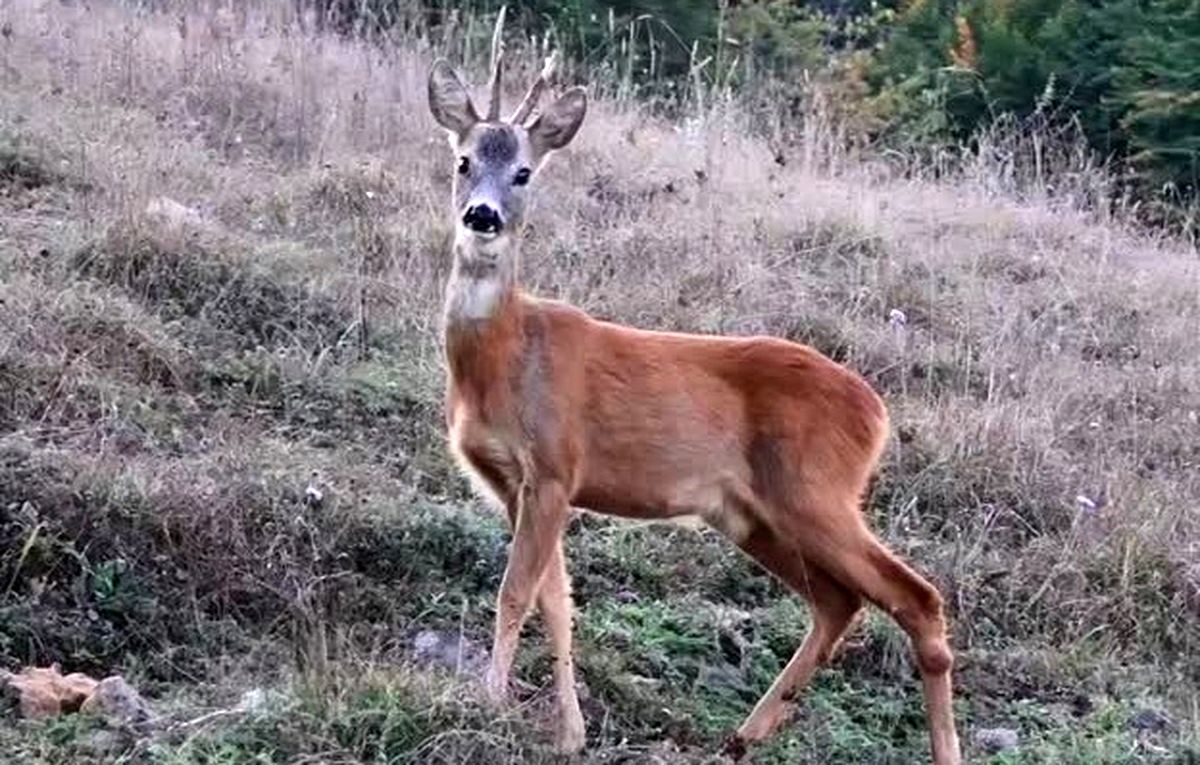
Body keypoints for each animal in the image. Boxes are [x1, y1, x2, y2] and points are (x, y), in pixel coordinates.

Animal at [427, 13, 960, 765]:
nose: (483, 216)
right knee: (838, 602)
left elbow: (516, 593)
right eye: (464, 160)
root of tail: (878, 411)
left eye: (525, 171)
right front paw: (570, 732)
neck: (504, 355)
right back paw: (742, 735)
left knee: (916, 596)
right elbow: (557, 599)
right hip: (751, 512)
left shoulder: (556, 466)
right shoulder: (512, 481)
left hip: (816, 491)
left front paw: (489, 703)